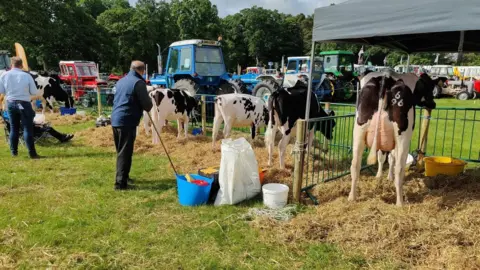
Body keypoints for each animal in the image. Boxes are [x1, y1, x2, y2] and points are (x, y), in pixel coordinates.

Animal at [348, 70, 442, 206]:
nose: (433, 104)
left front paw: (379, 176)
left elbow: (382, 157)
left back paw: (352, 197)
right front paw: (389, 177)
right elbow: (391, 158)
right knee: (399, 168)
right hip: (403, 136)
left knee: (355, 165)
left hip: (358, 130)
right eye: (430, 87)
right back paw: (400, 202)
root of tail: (386, 78)